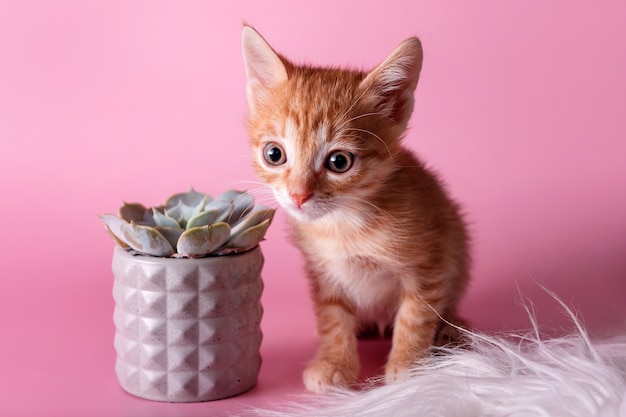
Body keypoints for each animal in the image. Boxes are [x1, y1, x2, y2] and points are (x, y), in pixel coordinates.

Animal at [240, 26, 468, 394]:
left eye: (339, 162)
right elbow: (332, 317)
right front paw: (335, 361)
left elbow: (415, 314)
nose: (298, 195)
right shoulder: (323, 271)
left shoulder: (432, 261)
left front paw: (410, 366)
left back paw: (451, 330)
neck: (344, 224)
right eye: (274, 154)